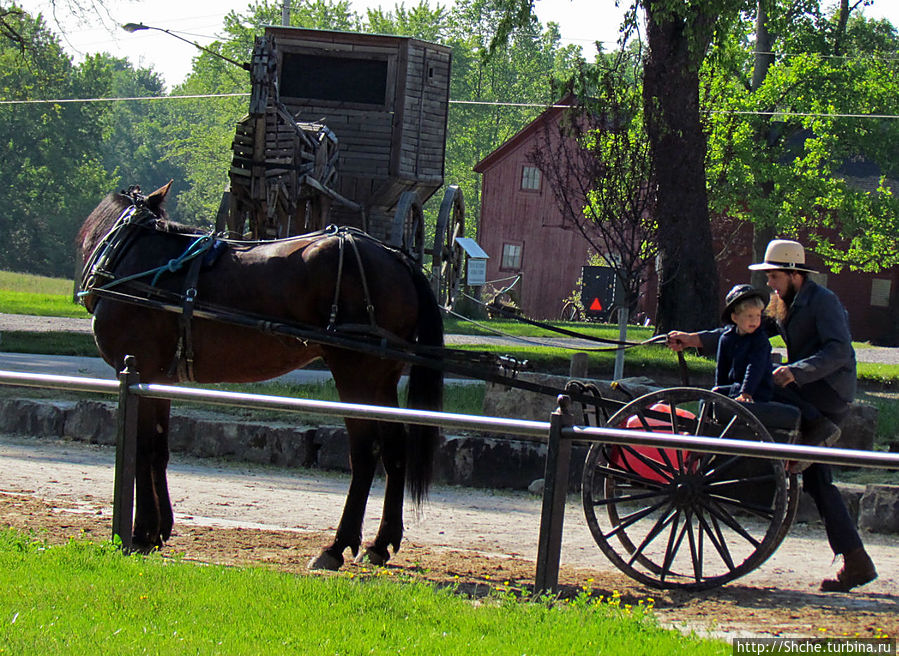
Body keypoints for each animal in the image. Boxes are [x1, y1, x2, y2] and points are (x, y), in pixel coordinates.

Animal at [76, 181, 442, 568]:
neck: (133, 255)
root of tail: (397, 257)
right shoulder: (158, 380)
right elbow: (159, 449)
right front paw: (160, 529)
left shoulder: (139, 369)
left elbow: (142, 448)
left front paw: (141, 531)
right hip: (381, 379)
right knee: (394, 448)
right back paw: (381, 542)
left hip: (355, 373)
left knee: (365, 452)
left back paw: (336, 545)